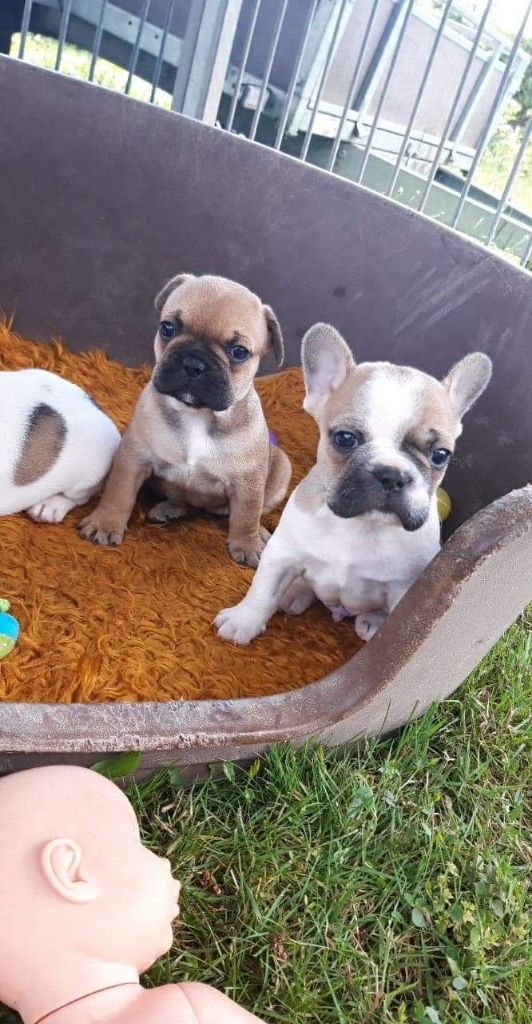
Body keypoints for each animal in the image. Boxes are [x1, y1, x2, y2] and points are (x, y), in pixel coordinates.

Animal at [213, 323, 493, 643]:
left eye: (440, 455)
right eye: (345, 438)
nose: (392, 474)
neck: (360, 524)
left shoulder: (404, 591)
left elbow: (397, 630)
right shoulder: (282, 553)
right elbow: (262, 590)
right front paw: (243, 621)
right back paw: (295, 592)